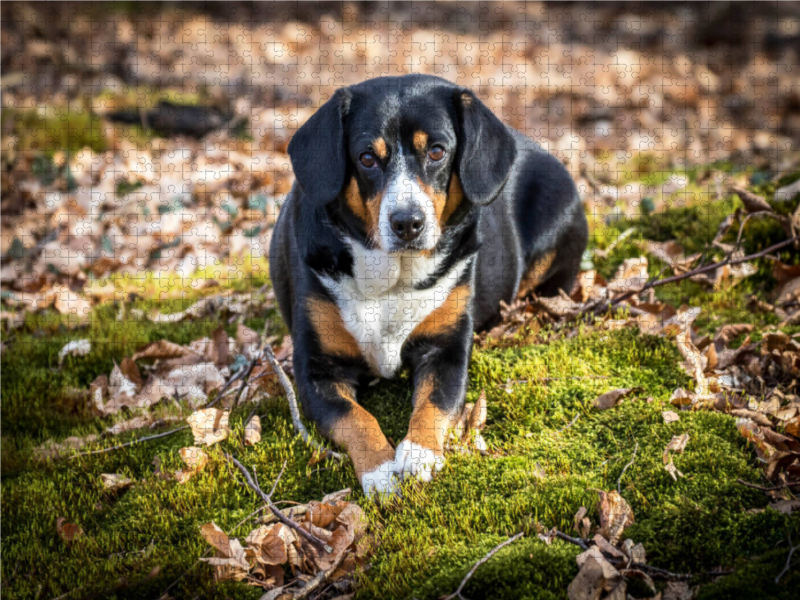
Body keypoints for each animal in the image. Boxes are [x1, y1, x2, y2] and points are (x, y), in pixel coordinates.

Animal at [268, 74, 588, 496]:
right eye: (366, 158)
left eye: (436, 151)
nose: (407, 222)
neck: (393, 282)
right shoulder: (316, 370)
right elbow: (355, 417)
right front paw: (380, 469)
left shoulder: (446, 348)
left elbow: (435, 400)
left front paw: (419, 453)